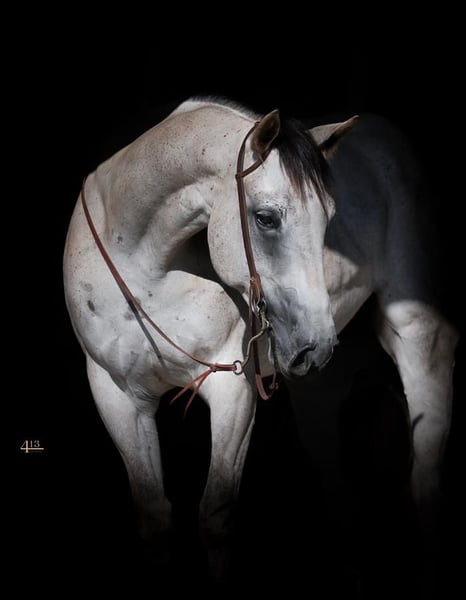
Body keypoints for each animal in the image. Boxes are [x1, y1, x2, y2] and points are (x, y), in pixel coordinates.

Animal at [63, 97, 458, 588]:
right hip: (317, 388)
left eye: (328, 221)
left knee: (425, 477)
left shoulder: (231, 390)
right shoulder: (117, 396)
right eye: (265, 218)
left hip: (417, 332)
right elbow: (154, 518)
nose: (317, 345)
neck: (145, 269)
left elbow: (215, 517)